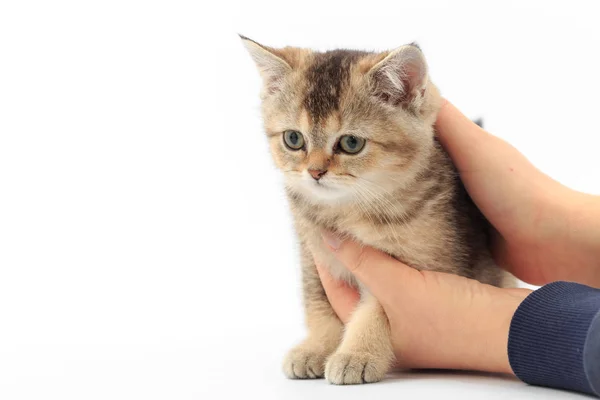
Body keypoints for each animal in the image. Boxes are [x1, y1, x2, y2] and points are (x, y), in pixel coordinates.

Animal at [241, 36, 512, 384]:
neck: (349, 210)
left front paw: (358, 354)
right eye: (293, 139)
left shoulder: (416, 269)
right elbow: (318, 303)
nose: (315, 172)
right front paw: (316, 346)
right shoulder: (313, 257)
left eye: (351, 143)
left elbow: (378, 310)